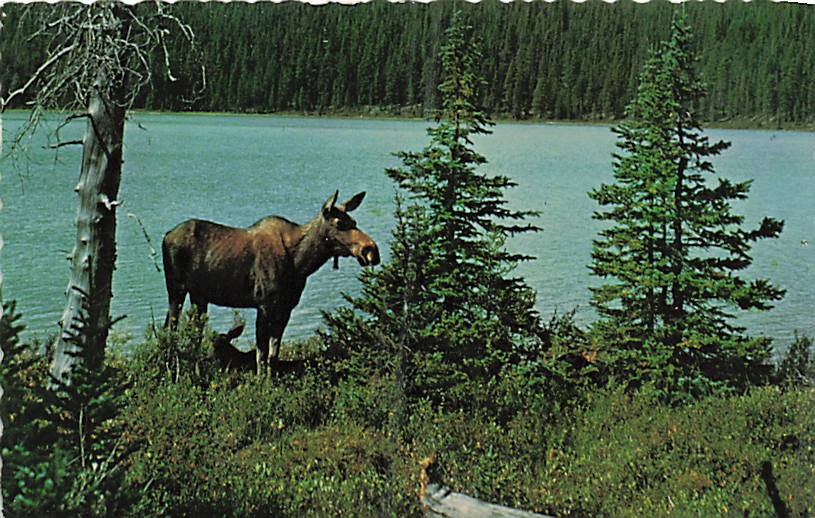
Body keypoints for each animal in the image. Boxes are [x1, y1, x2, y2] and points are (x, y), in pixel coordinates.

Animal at [162, 191, 380, 373]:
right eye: (339, 223)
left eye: (354, 220)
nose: (371, 250)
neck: (300, 263)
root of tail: (166, 235)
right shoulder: (264, 304)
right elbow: (261, 354)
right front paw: (261, 384)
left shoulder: (286, 307)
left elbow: (273, 355)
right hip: (176, 289)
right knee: (170, 327)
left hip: (199, 296)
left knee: (193, 331)